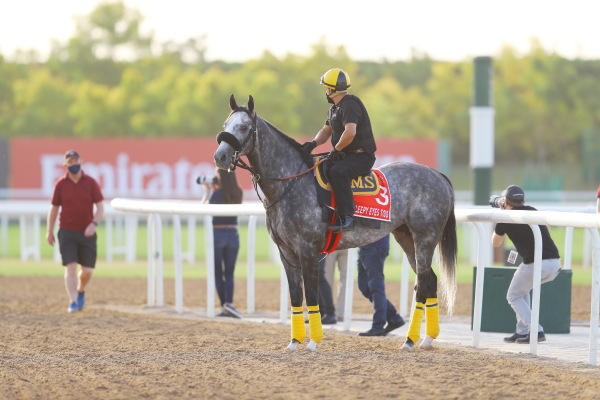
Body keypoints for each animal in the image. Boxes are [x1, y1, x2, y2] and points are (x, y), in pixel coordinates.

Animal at [213, 95, 458, 352]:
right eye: (225, 125)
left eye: (243, 127)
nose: (220, 157)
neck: (290, 183)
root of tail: (438, 175)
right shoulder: (286, 253)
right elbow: (295, 297)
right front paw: (293, 342)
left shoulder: (308, 250)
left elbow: (311, 295)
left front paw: (312, 343)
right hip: (406, 237)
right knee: (430, 281)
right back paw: (427, 339)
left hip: (425, 239)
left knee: (422, 285)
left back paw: (410, 340)